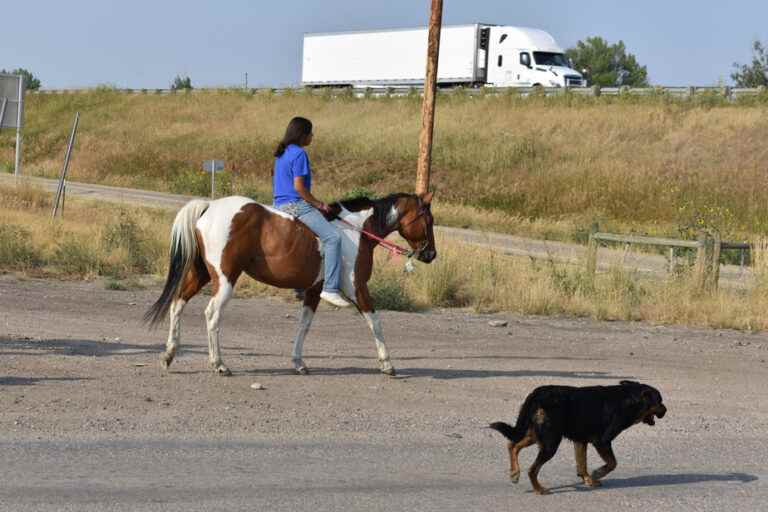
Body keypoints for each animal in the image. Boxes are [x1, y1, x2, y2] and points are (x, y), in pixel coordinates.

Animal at [142, 192, 436, 376]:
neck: (356, 231)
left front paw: (298, 362)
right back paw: (219, 364)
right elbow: (375, 322)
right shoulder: (358, 287)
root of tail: (210, 207)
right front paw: (387, 364)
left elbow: (303, 326)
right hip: (225, 279)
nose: (431, 254)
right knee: (211, 314)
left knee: (177, 304)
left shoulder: (314, 291)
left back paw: (169, 354)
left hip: (201, 273)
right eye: (429, 220)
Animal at [492, 382, 664, 494]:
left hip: (537, 434)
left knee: (512, 445)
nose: (666, 410)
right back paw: (538, 489)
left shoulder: (581, 441)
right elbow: (612, 463)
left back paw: (515, 473)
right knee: (532, 469)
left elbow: (582, 465)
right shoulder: (602, 441)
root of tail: (538, 394)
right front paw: (597, 474)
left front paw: (588, 479)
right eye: (660, 402)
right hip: (550, 442)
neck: (629, 399)